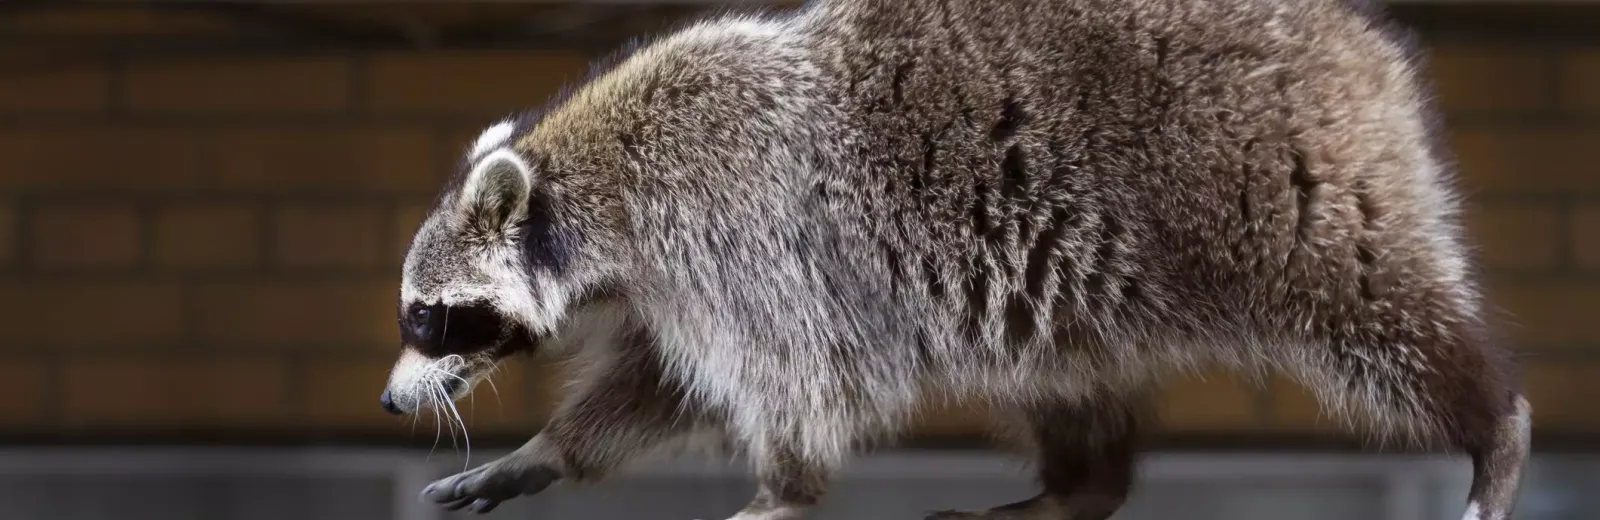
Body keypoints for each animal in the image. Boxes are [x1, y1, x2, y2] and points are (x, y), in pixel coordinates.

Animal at [380, 1, 1529, 518]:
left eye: (430, 317)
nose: (392, 402)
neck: (583, 186)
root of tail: (1362, 49)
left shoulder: (740, 234)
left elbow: (790, 379)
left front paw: (788, 486)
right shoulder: (681, 278)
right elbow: (657, 385)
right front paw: (551, 448)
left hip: (1283, 191)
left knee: (1374, 307)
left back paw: (1490, 419)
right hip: (1071, 282)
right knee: (1065, 378)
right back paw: (1077, 488)